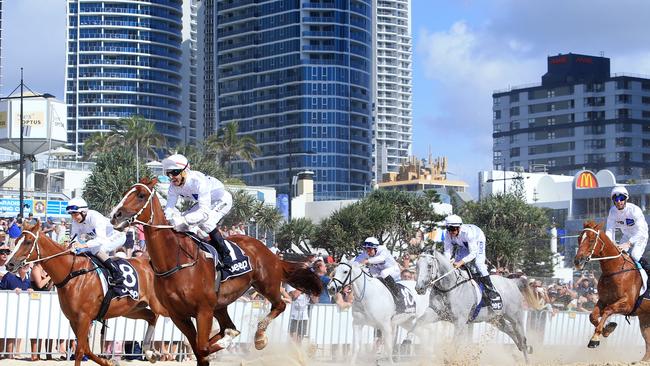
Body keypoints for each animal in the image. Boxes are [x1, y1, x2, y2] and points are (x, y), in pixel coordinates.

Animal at [5, 220, 167, 366]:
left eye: (28, 242)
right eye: (17, 240)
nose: (9, 264)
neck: (71, 273)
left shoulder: (84, 318)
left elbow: (80, 351)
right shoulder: (74, 319)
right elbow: (87, 350)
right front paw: (110, 362)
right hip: (131, 309)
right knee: (151, 316)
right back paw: (150, 352)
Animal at [109, 177, 322, 366]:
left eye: (141, 195)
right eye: (126, 192)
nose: (114, 215)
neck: (175, 262)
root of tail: (270, 253)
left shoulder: (203, 310)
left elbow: (202, 348)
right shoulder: (178, 315)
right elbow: (199, 349)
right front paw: (152, 352)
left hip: (266, 284)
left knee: (280, 305)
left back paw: (260, 337)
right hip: (221, 305)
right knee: (229, 326)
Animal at [572, 220, 648, 360]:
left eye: (591, 240)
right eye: (579, 238)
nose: (577, 261)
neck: (615, 271)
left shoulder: (628, 304)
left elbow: (608, 310)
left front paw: (595, 338)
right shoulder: (603, 300)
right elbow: (593, 316)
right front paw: (607, 329)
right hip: (645, 317)